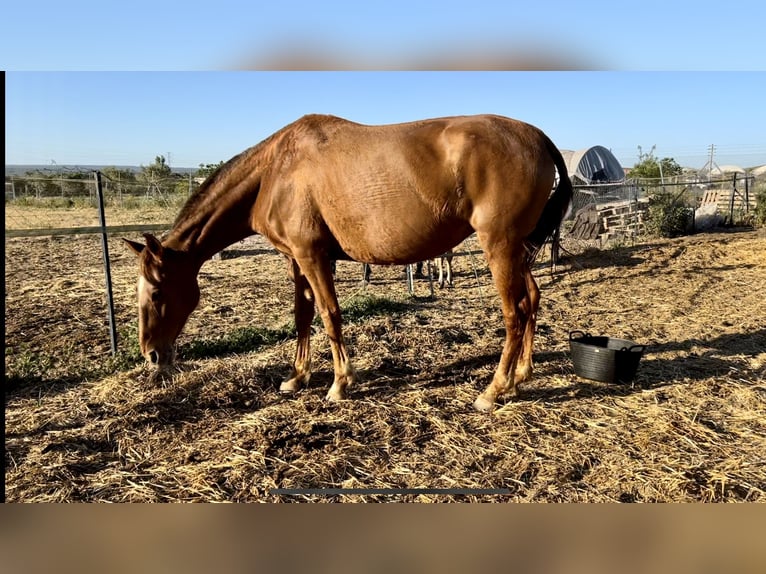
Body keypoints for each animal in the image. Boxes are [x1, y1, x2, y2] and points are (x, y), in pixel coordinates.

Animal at [124, 115, 568, 414]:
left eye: (157, 291)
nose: (152, 356)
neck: (275, 171)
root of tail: (537, 137)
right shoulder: (295, 259)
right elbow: (303, 315)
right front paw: (298, 376)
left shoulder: (312, 255)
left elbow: (329, 313)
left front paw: (339, 383)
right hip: (517, 250)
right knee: (532, 300)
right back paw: (521, 376)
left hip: (499, 246)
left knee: (514, 312)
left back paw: (494, 390)